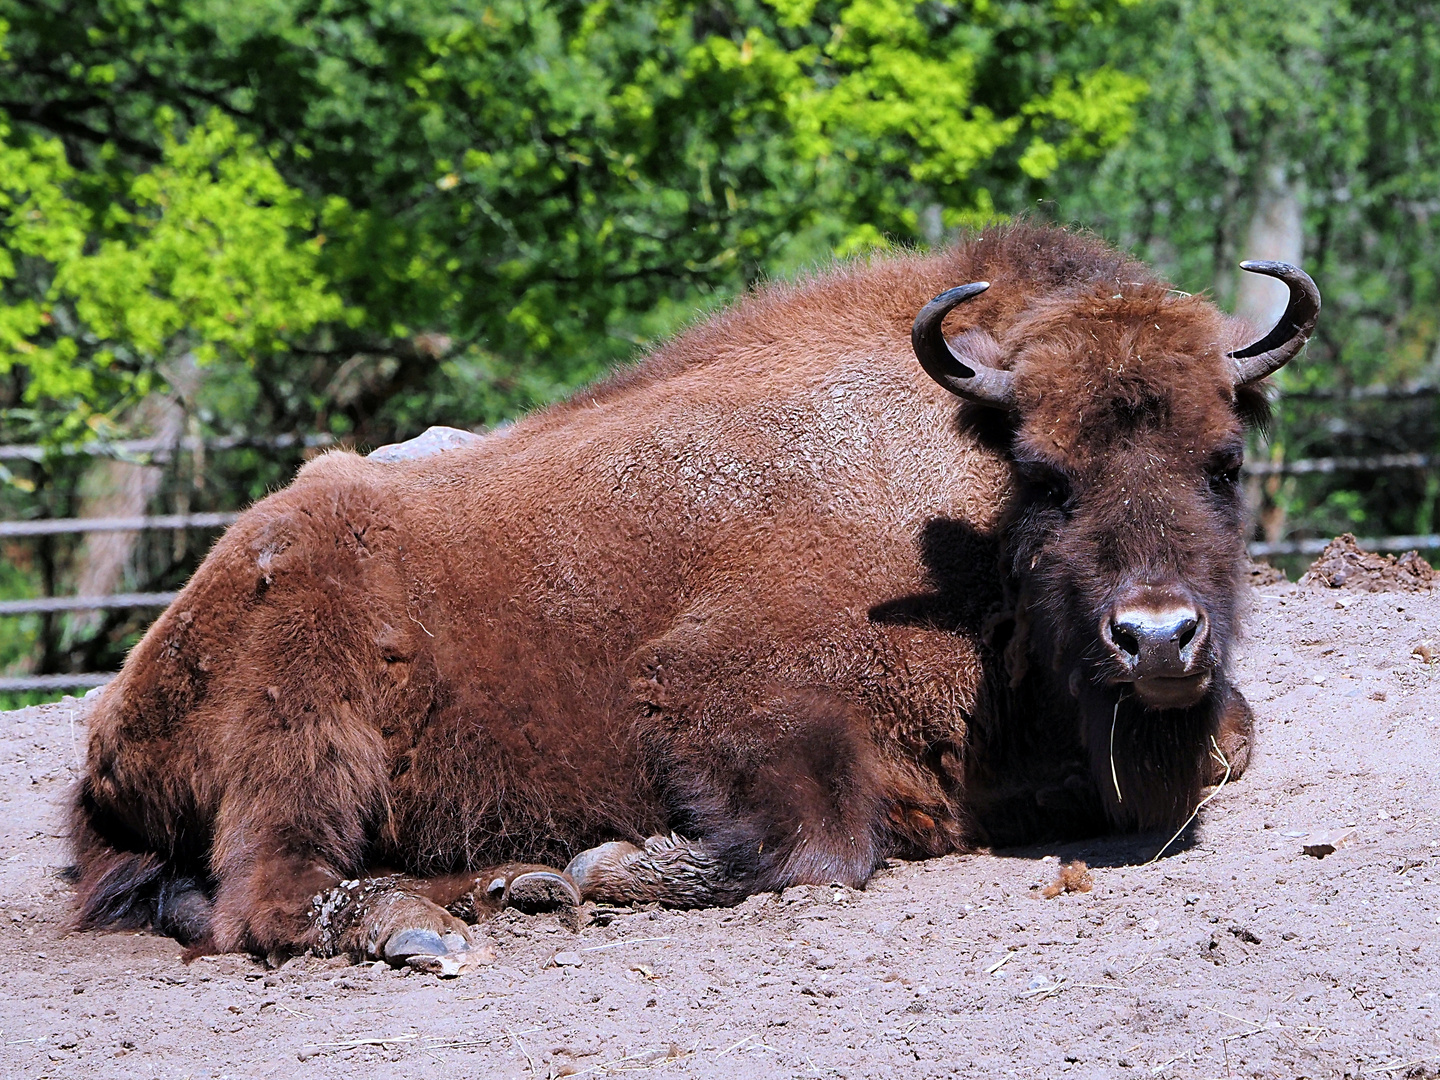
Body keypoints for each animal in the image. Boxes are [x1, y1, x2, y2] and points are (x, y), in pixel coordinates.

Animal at [73, 226, 1319, 961]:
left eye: (1225, 462)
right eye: (1047, 477)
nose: (1157, 639)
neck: (961, 505)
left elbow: (1229, 745)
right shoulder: (715, 695)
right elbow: (820, 844)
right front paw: (613, 865)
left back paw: (512, 886)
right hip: (309, 721)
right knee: (265, 893)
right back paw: (430, 923)